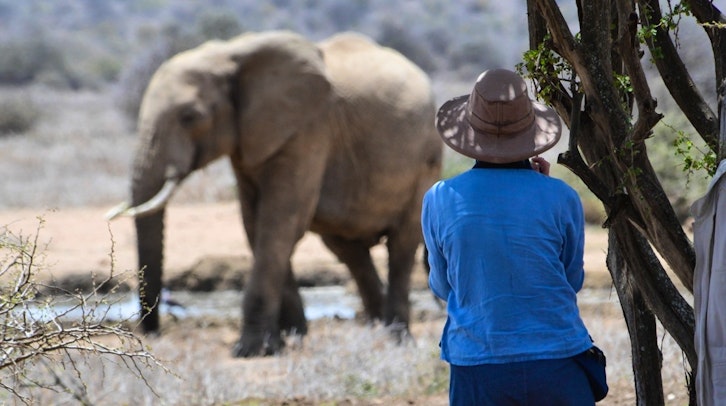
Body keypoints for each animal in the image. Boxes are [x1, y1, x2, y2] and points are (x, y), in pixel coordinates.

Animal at [107, 30, 442, 357]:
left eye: (190, 117)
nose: (154, 334)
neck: (231, 52)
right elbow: (255, 225)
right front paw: (289, 341)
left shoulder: (308, 129)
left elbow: (281, 221)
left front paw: (251, 350)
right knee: (349, 252)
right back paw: (375, 333)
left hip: (425, 162)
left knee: (401, 245)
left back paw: (396, 339)